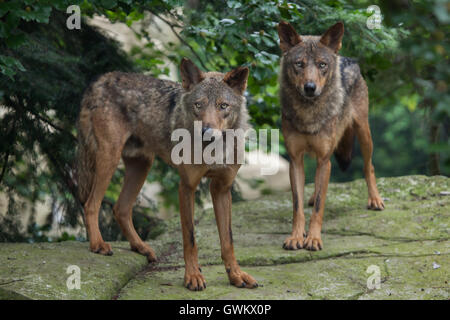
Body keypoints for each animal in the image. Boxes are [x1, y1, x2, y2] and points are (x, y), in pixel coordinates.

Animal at [78, 57, 256, 290]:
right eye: (198, 105)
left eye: (223, 106)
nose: (206, 133)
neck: (214, 151)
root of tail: (101, 78)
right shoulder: (187, 187)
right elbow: (190, 238)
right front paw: (193, 276)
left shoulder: (222, 189)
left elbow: (228, 240)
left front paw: (236, 275)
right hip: (109, 158)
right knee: (91, 204)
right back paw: (98, 244)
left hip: (142, 165)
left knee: (120, 208)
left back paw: (141, 247)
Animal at [276, 21, 384, 252]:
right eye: (299, 64)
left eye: (322, 64)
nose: (309, 87)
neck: (308, 113)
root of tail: (347, 58)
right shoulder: (295, 160)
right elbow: (297, 206)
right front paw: (296, 236)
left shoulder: (324, 159)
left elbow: (319, 205)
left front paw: (313, 238)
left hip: (364, 133)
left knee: (368, 166)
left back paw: (375, 199)